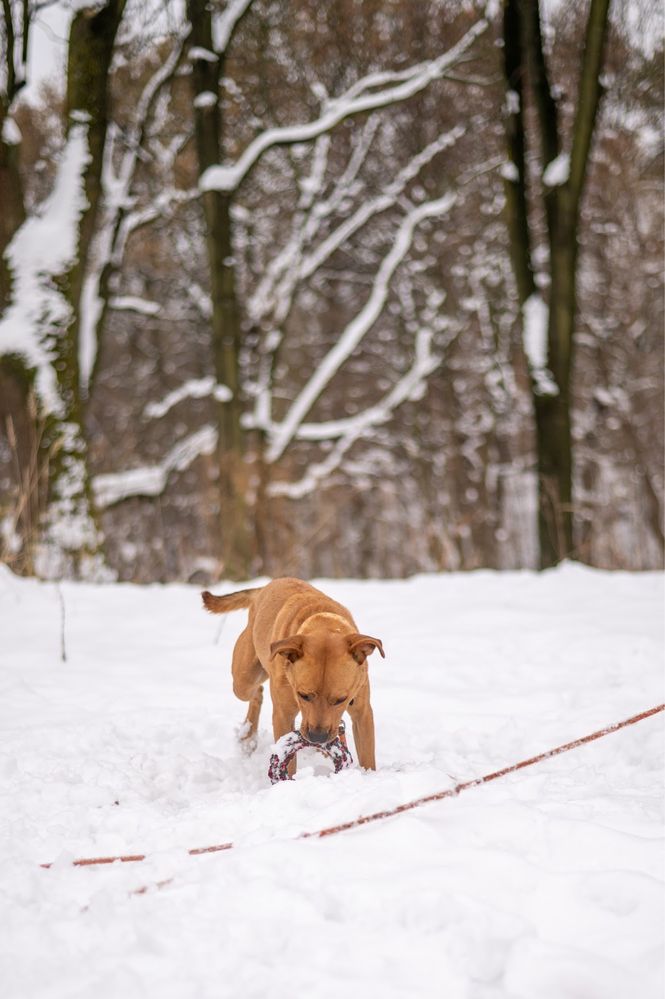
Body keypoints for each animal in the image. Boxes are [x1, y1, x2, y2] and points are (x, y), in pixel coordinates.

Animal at [200, 576, 384, 768]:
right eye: (303, 695)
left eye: (341, 699)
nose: (318, 737)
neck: (323, 622)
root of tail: (264, 588)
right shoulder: (283, 715)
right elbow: (288, 762)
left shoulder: (362, 711)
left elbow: (367, 755)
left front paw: (367, 773)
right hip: (244, 680)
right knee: (255, 691)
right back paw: (248, 737)